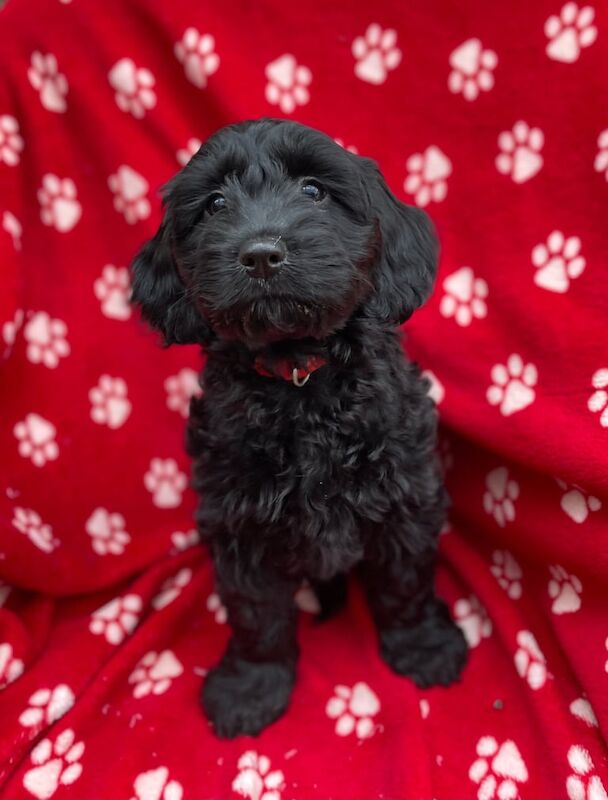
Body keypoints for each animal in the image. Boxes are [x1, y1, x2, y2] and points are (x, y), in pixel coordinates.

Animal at [132, 117, 466, 736]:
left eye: (314, 191)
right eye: (215, 204)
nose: (262, 255)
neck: (298, 379)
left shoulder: (405, 497)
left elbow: (405, 580)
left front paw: (424, 646)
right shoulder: (238, 520)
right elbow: (256, 610)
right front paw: (251, 687)